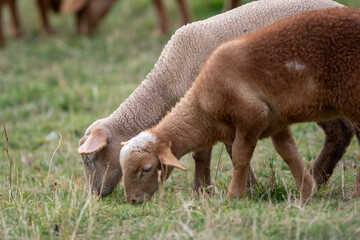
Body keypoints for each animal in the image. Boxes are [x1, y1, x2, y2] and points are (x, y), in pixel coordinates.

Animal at [78, 0, 348, 197]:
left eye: (91, 158)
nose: (96, 194)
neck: (165, 83)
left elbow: (205, 153)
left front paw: (203, 190)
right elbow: (230, 149)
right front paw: (249, 186)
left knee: (339, 133)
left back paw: (317, 176)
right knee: (344, 131)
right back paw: (319, 178)